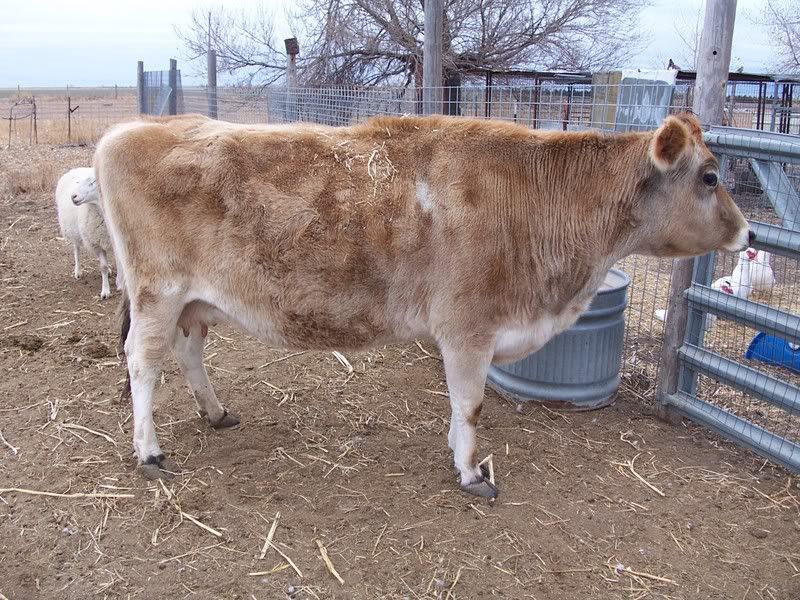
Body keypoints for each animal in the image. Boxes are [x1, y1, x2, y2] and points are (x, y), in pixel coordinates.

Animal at [93, 112, 752, 498]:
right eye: (710, 176)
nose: (748, 233)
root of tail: (128, 129)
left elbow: (463, 406)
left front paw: (458, 453)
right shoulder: (468, 327)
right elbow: (472, 403)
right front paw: (470, 471)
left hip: (191, 302)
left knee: (187, 354)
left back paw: (215, 412)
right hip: (157, 293)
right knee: (143, 364)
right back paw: (149, 451)